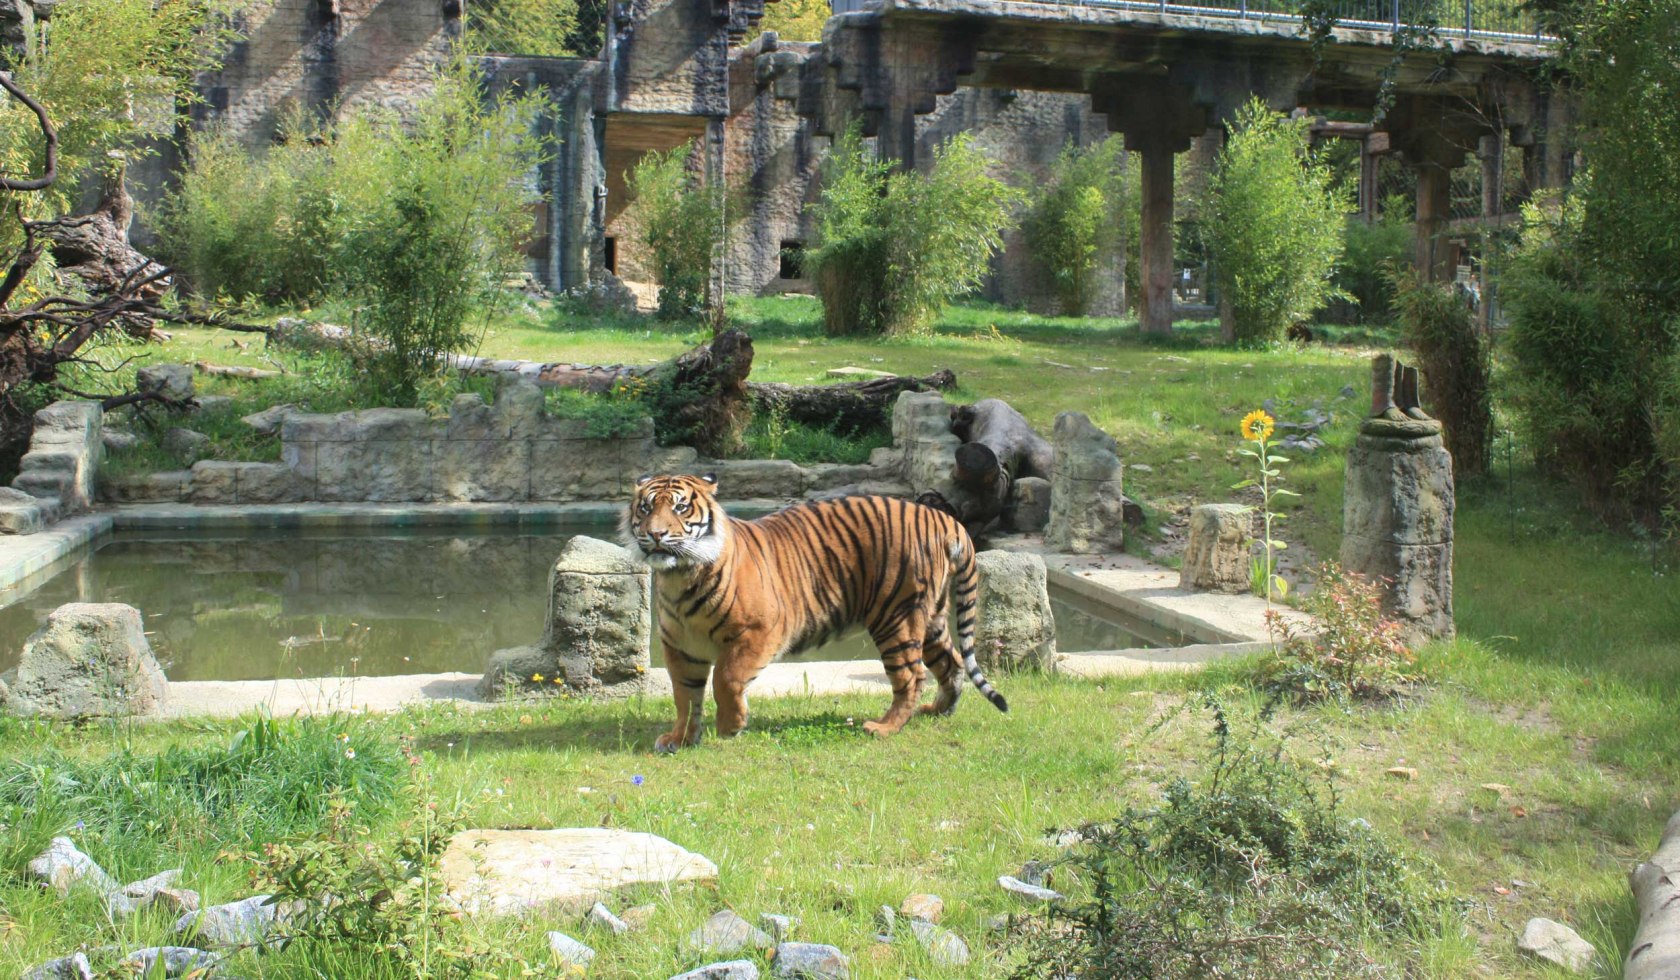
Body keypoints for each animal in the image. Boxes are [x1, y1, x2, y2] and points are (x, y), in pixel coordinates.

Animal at [624, 470, 1001, 756]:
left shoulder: (761, 631)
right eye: (645, 508)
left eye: (681, 507)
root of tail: (943, 517)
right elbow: (685, 697)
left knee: (913, 675)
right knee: (952, 662)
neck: (680, 576)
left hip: (897, 618)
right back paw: (938, 711)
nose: (655, 534)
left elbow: (727, 679)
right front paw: (680, 739)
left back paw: (884, 727)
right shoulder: (681, 648)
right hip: (932, 618)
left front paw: (731, 726)